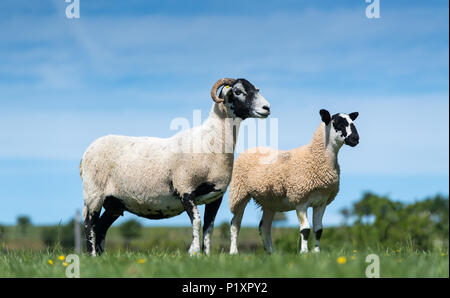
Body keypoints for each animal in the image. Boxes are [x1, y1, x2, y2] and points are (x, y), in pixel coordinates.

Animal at [229, 109, 358, 254]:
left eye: (352, 122)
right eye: (337, 123)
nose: (356, 139)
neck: (316, 157)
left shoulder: (321, 202)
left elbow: (318, 230)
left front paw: (317, 252)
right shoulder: (300, 198)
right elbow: (305, 229)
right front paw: (304, 253)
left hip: (270, 201)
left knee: (264, 227)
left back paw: (271, 253)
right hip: (239, 193)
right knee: (235, 224)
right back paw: (234, 252)